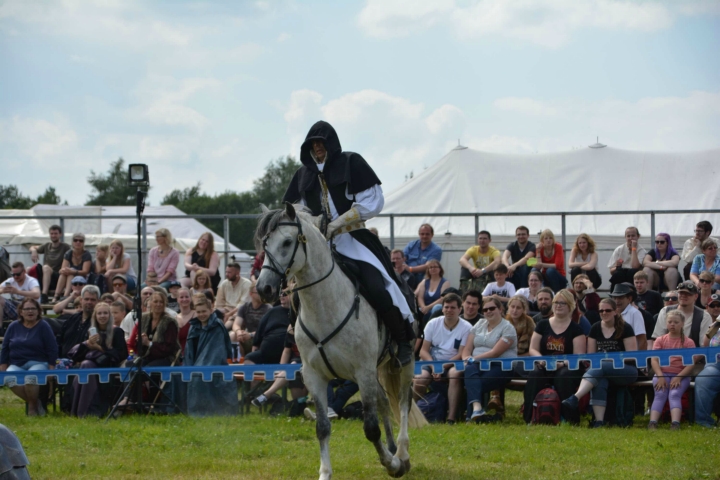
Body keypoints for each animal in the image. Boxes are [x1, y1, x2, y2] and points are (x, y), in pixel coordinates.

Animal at [255, 203, 424, 480]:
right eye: (265, 242)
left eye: (288, 242)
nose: (264, 289)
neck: (326, 306)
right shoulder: (315, 376)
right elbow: (322, 427)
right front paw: (325, 473)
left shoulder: (363, 371)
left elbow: (371, 428)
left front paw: (392, 464)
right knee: (384, 400)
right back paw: (391, 449)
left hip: (403, 365)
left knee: (402, 401)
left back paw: (402, 454)